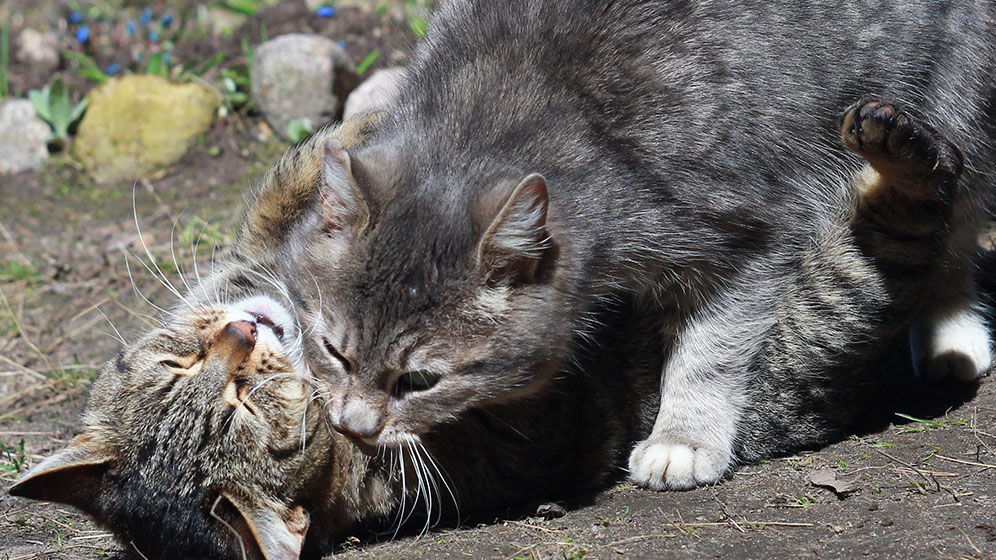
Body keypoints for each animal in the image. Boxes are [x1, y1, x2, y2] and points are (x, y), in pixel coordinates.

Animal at [9, 97, 980, 560]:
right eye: (241, 407)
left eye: (177, 366)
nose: (240, 342)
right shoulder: (519, 427)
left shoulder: (257, 247)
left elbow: (296, 176)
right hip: (832, 293)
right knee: (906, 226)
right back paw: (898, 149)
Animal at [260, 0, 992, 490]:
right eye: (334, 352)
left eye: (419, 381)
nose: (354, 427)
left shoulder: (752, 233)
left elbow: (711, 350)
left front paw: (683, 437)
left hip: (959, 100)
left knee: (955, 216)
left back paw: (953, 331)